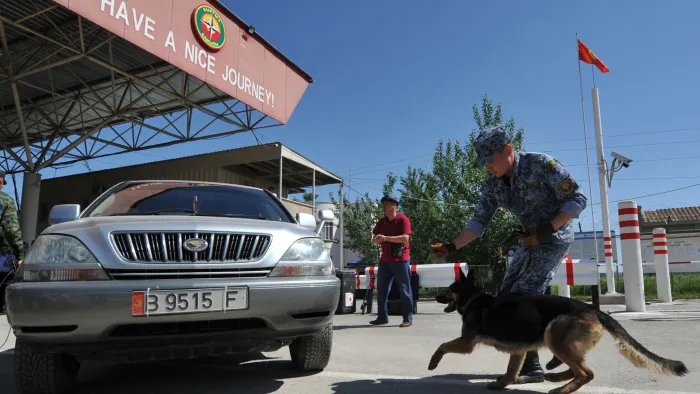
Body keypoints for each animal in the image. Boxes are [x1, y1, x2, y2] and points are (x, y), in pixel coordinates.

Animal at [430, 270, 688, 392]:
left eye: (448, 288)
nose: (435, 296)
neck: (473, 297)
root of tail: (593, 310)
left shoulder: (466, 342)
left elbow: (442, 345)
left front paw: (433, 362)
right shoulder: (518, 350)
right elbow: (511, 372)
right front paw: (502, 384)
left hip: (554, 335)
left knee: (586, 373)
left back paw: (560, 389)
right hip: (563, 343)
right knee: (579, 369)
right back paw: (556, 377)